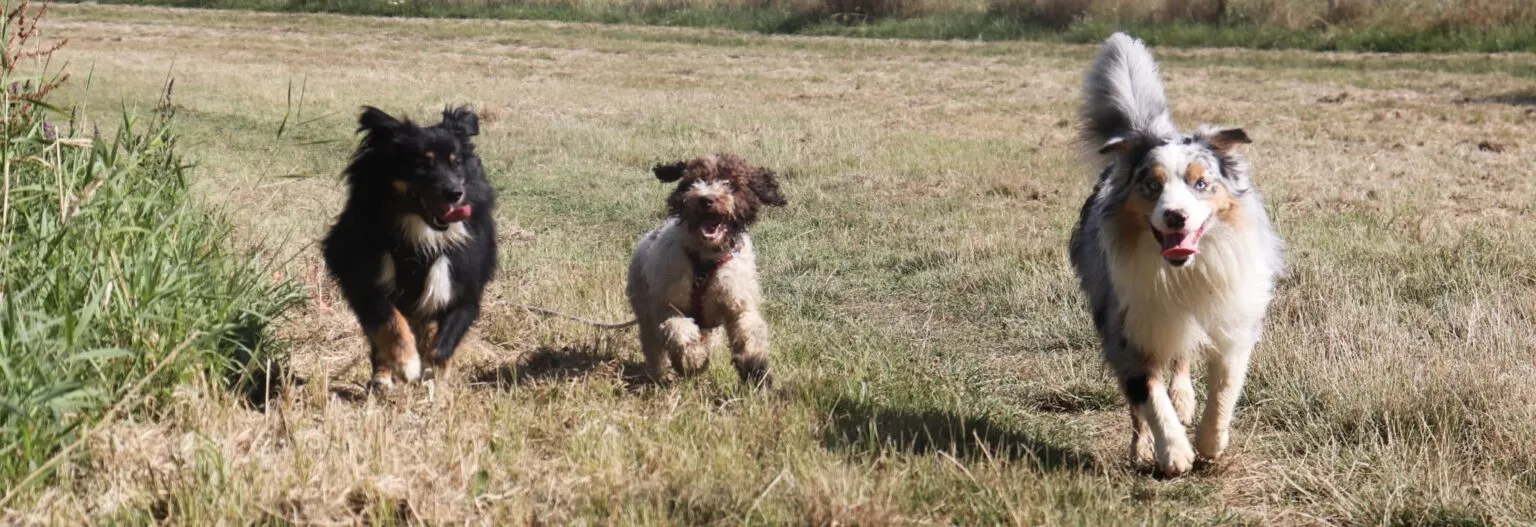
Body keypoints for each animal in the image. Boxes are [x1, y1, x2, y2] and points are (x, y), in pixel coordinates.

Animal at [324, 105, 497, 391]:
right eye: (422, 163)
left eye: (457, 162)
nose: (455, 193)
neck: (423, 233)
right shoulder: (361, 267)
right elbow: (389, 320)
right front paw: (407, 365)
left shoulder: (463, 276)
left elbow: (442, 344)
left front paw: (434, 376)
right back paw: (383, 377)